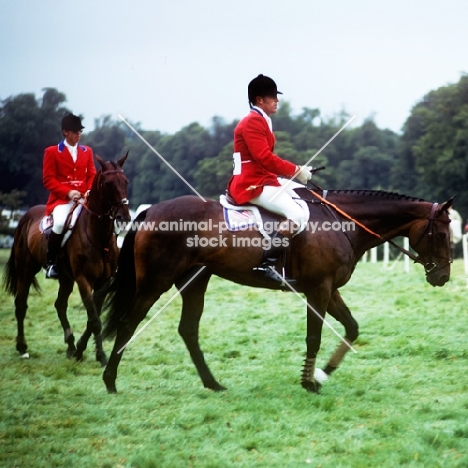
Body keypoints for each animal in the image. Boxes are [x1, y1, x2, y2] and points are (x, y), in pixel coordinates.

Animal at [3, 154, 132, 366]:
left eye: (125, 182)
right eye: (107, 184)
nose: (124, 217)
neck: (98, 236)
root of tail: (25, 216)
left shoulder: (103, 282)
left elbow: (92, 318)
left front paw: (82, 350)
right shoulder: (83, 279)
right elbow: (95, 320)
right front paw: (100, 356)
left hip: (65, 278)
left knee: (60, 305)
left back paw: (70, 345)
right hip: (26, 270)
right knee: (21, 305)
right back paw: (22, 348)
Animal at [99, 188, 454, 394]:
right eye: (440, 234)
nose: (443, 276)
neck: (341, 222)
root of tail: (151, 210)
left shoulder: (330, 290)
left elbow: (352, 328)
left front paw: (323, 373)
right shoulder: (318, 290)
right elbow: (314, 336)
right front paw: (309, 382)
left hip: (195, 281)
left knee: (188, 329)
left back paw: (213, 383)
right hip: (154, 283)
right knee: (128, 323)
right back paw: (110, 381)